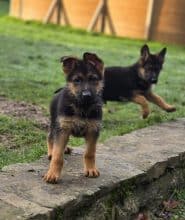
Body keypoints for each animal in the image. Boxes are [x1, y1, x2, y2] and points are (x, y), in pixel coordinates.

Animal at [43, 52, 104, 183]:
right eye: (77, 80)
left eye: (93, 79)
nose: (86, 95)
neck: (82, 106)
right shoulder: (63, 129)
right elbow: (57, 156)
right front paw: (52, 173)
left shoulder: (93, 130)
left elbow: (89, 153)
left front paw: (91, 169)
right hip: (55, 123)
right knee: (50, 137)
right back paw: (51, 152)